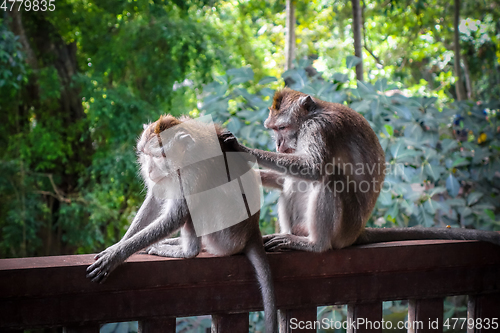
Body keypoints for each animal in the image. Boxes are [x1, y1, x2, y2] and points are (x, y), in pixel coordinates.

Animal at [88, 115, 280, 332]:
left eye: (158, 156)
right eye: (145, 155)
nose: (149, 170)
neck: (184, 157)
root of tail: (252, 231)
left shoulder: (192, 172)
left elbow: (177, 215)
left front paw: (116, 255)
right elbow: (155, 198)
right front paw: (120, 243)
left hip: (225, 235)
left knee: (197, 206)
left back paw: (186, 251)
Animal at [225, 87, 500, 250]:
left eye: (282, 128)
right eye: (273, 130)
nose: (279, 145)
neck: (310, 118)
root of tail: (357, 232)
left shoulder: (319, 129)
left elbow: (314, 169)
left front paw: (242, 149)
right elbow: (290, 178)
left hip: (345, 227)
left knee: (330, 177)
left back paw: (315, 244)